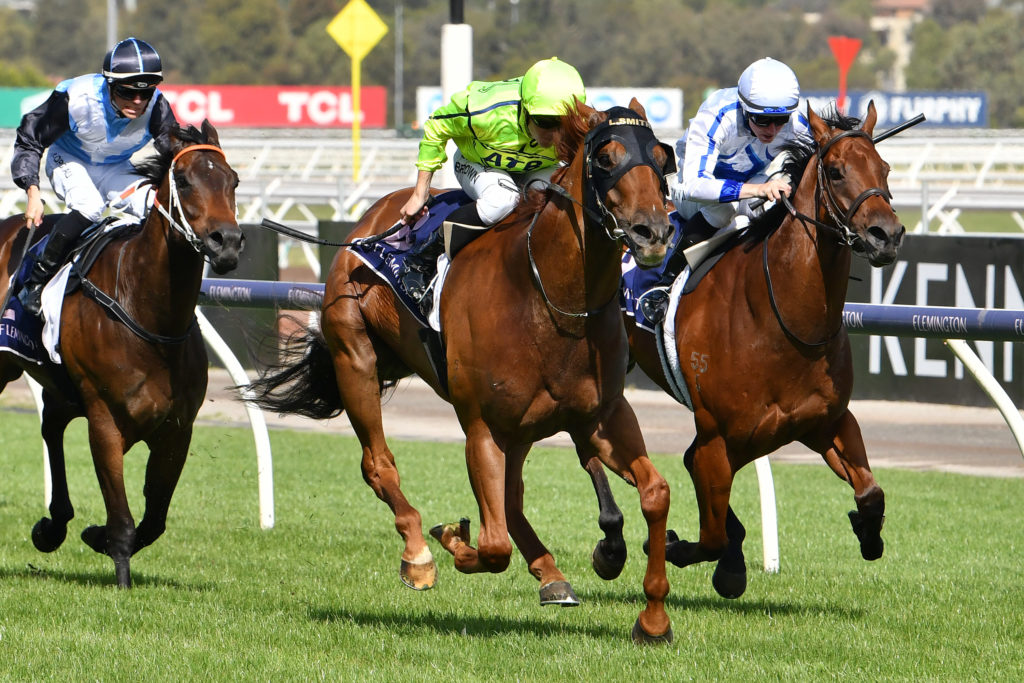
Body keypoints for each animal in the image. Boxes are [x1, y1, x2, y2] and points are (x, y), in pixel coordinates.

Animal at [0, 120, 244, 588]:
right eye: (184, 180)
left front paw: (93, 535)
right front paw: (120, 573)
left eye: (233, 181)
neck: (149, 315)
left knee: (52, 423)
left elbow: (155, 519)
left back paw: (53, 526)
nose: (227, 242)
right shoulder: (105, 420)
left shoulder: (177, 429)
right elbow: (125, 518)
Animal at [245, 99, 678, 643]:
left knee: (511, 500)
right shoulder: (482, 426)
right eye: (605, 158)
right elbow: (492, 546)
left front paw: (654, 617)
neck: (549, 298)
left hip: (517, 426)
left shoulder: (602, 416)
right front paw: (451, 537)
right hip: (355, 355)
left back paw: (551, 574)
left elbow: (655, 493)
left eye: (663, 157)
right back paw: (418, 554)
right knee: (378, 464)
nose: (653, 232)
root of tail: (368, 223)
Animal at [602, 101, 903, 598]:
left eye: (885, 168)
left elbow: (871, 493)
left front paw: (867, 532)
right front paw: (682, 550)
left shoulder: (827, 421)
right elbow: (710, 534)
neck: (780, 320)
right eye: (836, 171)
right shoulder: (717, 437)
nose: (887, 234)